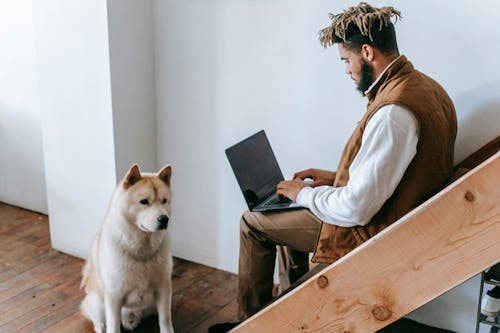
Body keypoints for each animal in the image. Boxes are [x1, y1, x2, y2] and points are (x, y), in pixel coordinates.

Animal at [80, 163, 176, 332]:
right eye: (144, 201)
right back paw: (100, 326)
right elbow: (113, 326)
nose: (164, 219)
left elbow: (165, 318)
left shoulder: (164, 286)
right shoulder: (114, 294)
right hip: (99, 303)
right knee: (97, 318)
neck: (142, 249)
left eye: (164, 201)